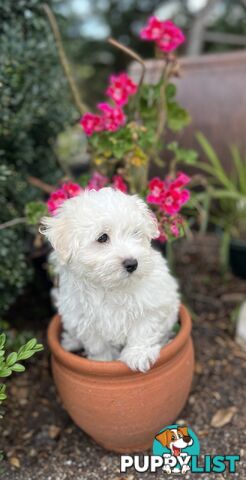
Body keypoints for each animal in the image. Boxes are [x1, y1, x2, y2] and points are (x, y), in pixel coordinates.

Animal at [40, 187, 179, 372]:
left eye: (135, 233)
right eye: (102, 238)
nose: (132, 263)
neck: (111, 287)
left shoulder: (153, 303)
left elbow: (143, 329)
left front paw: (138, 355)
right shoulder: (85, 320)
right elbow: (98, 346)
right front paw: (102, 362)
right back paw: (71, 341)